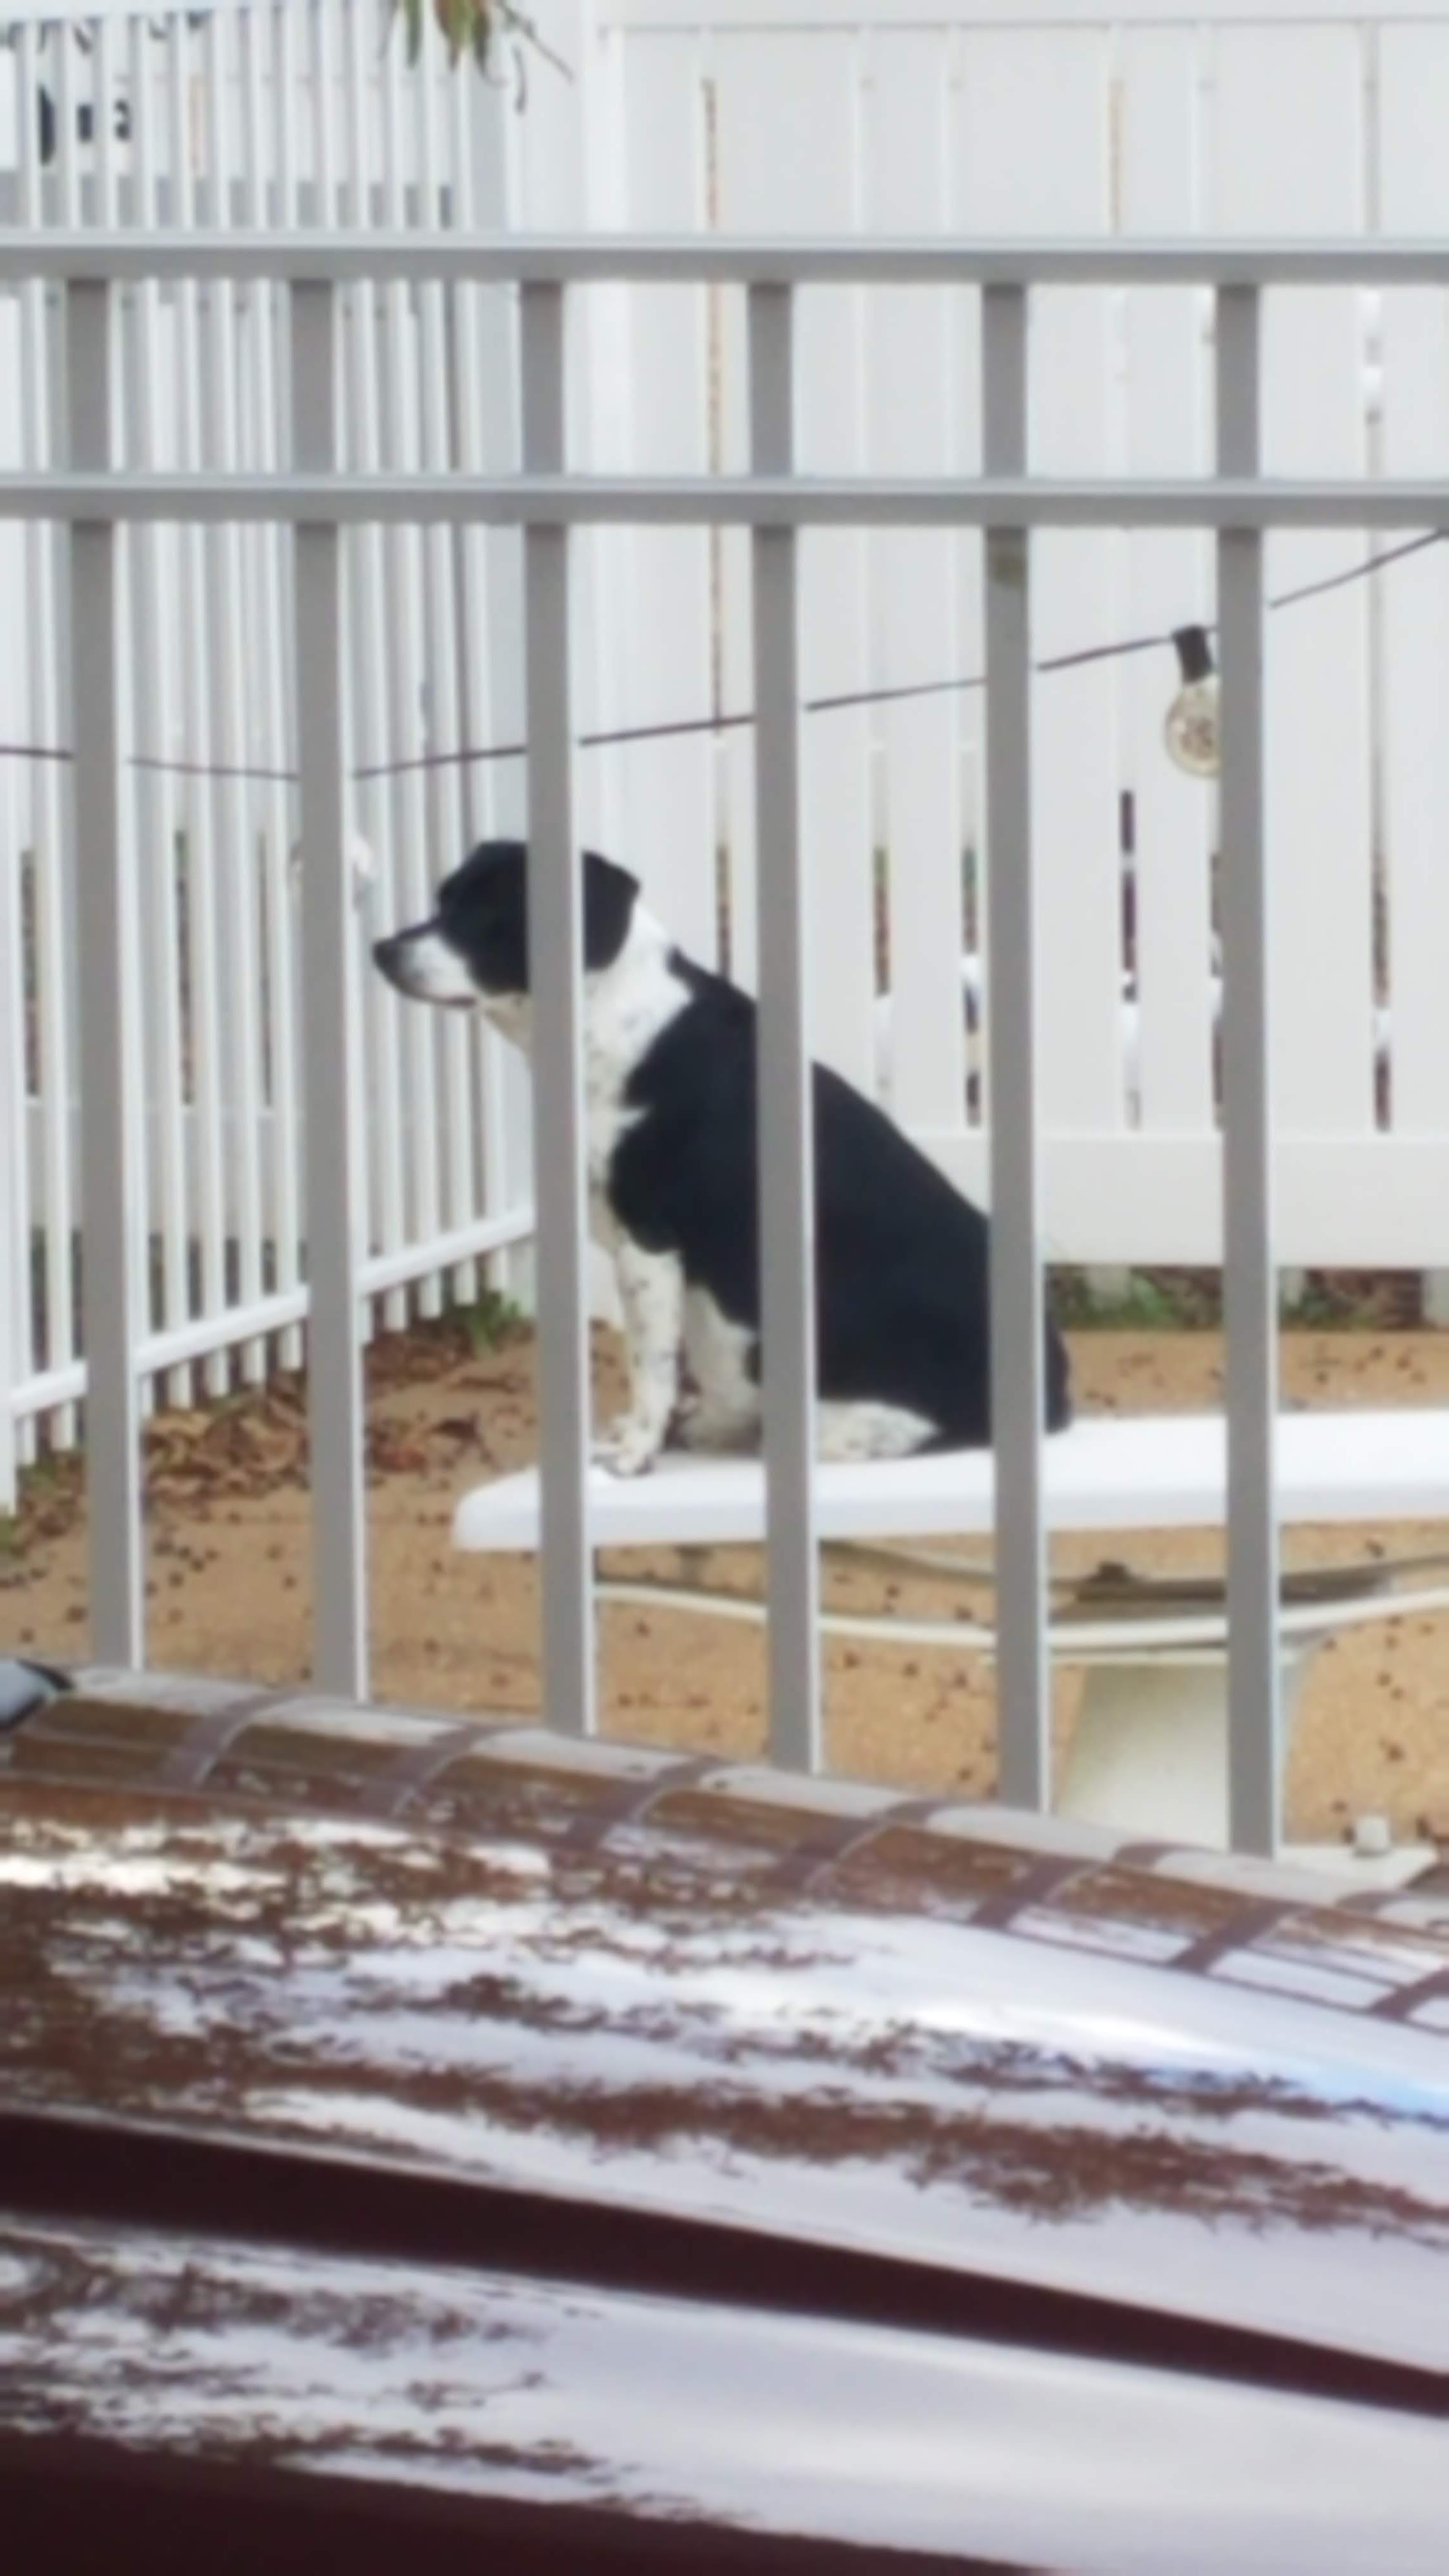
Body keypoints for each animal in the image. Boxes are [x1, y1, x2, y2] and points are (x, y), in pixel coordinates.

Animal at [373, 839, 1072, 1477]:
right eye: (444, 900)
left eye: (488, 911)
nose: (382, 950)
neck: (608, 1013)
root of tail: (1056, 1392)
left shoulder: (650, 1242)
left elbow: (651, 1364)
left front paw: (636, 1450)